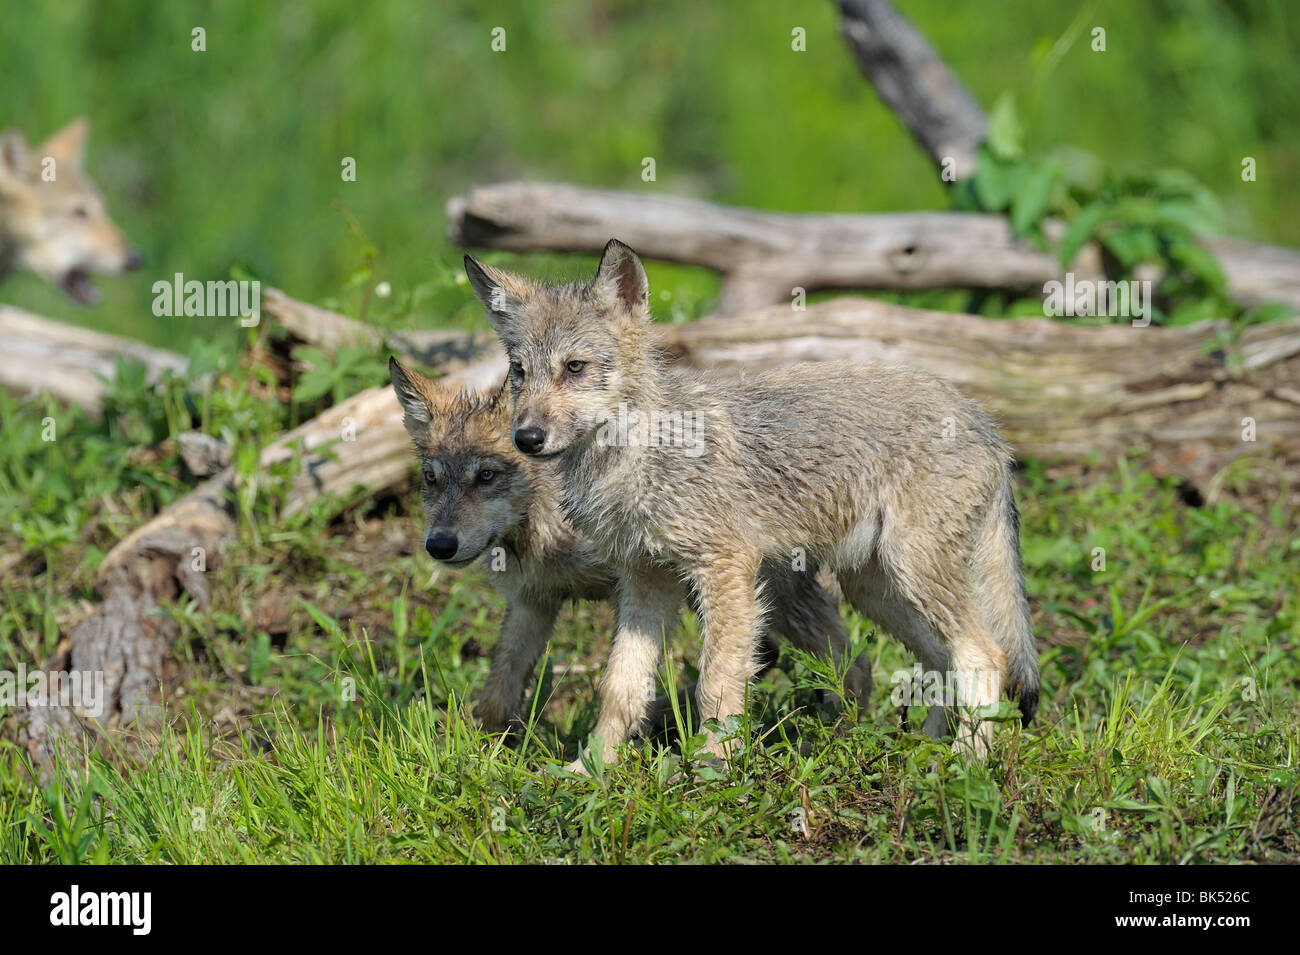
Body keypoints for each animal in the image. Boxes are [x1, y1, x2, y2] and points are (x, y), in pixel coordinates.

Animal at [387, 358, 873, 738]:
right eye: (432, 479)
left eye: (486, 475)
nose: (439, 545)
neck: (542, 524)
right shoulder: (533, 600)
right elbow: (498, 691)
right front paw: (480, 753)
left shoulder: (642, 583)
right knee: (846, 662)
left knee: (825, 661)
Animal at [465, 242, 1034, 764]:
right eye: (519, 371)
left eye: (575, 367)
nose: (527, 438)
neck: (634, 459)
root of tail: (985, 422)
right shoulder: (645, 580)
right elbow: (620, 689)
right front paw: (590, 773)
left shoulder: (726, 569)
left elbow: (716, 688)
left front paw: (711, 773)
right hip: (879, 589)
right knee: (941, 661)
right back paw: (928, 754)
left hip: (910, 573)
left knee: (986, 656)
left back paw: (966, 765)